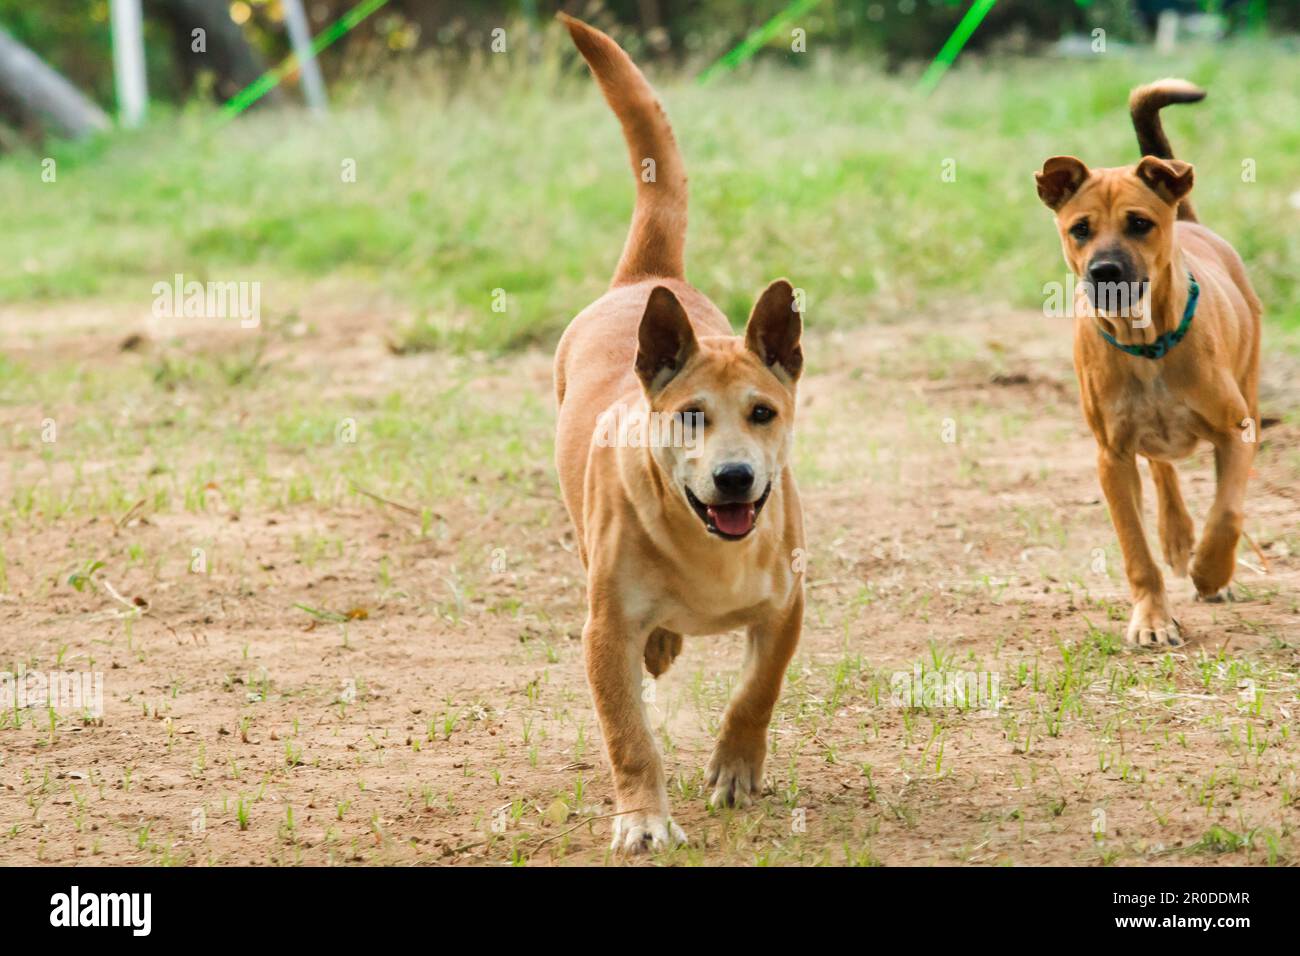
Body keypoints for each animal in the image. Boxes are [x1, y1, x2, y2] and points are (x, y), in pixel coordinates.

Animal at [553, 14, 806, 853]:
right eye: (692, 414)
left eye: (762, 412)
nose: (734, 478)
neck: (707, 545)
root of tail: (645, 281)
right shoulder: (604, 632)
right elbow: (627, 733)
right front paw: (643, 818)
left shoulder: (786, 607)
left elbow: (757, 690)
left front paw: (735, 767)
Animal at [1034, 80, 1258, 650]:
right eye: (1080, 229)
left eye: (1140, 224)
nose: (1104, 271)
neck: (1147, 345)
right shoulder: (1111, 456)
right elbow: (1136, 548)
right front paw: (1154, 618)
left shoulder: (1237, 431)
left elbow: (1228, 511)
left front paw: (1211, 572)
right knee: (1161, 467)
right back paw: (1176, 536)